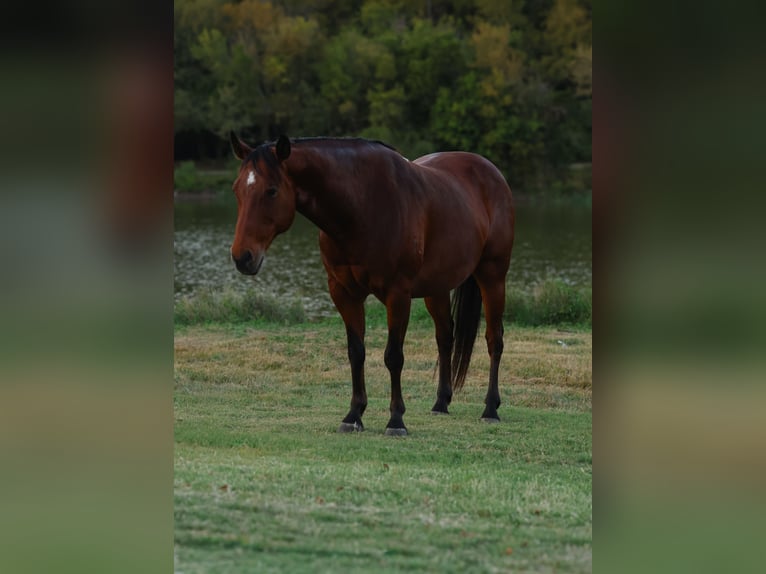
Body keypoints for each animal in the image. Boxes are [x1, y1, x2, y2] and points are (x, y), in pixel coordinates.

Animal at [229, 133, 514, 436]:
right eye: (237, 189)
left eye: (271, 191)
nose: (242, 257)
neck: (362, 206)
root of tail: (491, 172)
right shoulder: (344, 293)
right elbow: (356, 352)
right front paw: (353, 415)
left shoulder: (397, 294)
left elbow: (393, 356)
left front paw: (396, 420)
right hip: (437, 287)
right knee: (445, 337)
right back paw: (441, 403)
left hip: (493, 276)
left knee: (494, 339)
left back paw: (490, 408)